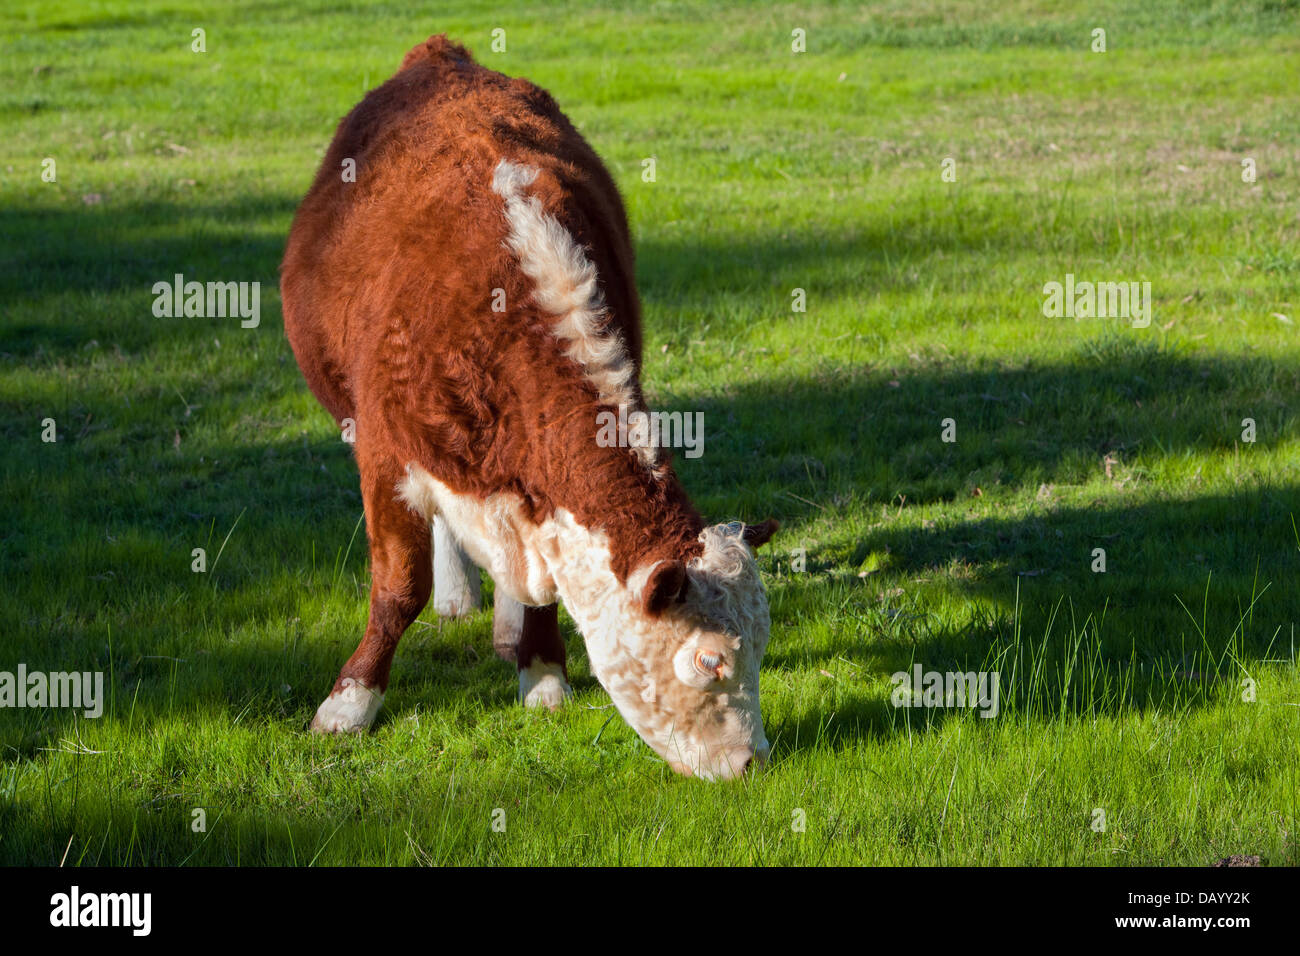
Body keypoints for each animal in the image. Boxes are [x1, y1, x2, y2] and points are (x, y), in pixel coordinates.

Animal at [279, 39, 774, 785]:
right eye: (709, 660)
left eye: (761, 646)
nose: (752, 762)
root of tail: (441, 54)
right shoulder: (385, 451)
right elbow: (398, 588)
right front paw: (350, 703)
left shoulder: (538, 498)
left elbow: (543, 584)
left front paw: (540, 671)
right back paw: (458, 596)